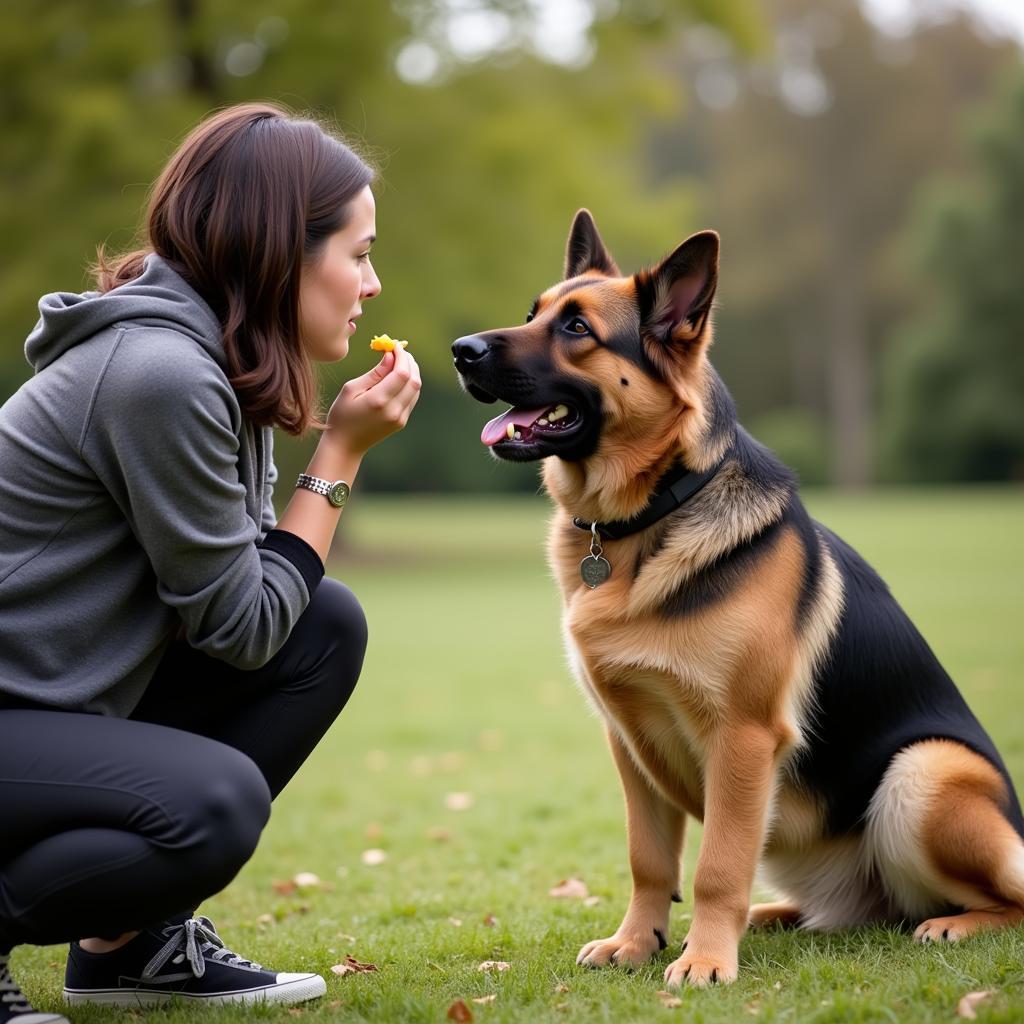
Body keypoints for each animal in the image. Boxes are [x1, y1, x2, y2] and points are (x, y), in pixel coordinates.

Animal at [454, 211, 1024, 987]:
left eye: (576, 329)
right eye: (532, 313)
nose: (460, 351)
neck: (649, 516)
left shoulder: (743, 738)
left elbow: (718, 865)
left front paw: (704, 960)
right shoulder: (627, 741)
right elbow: (648, 859)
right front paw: (637, 942)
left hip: (923, 772)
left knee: (997, 900)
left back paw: (951, 925)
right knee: (859, 911)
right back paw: (774, 917)